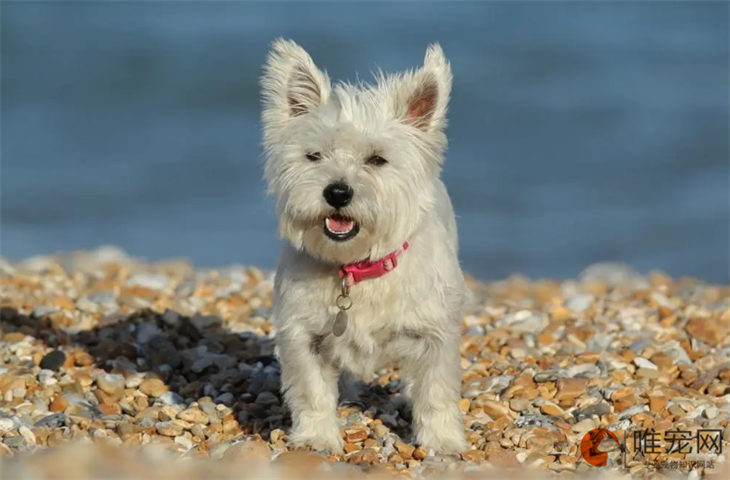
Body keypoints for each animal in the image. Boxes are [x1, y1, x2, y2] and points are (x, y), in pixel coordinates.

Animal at [262, 38, 466, 454]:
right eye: (314, 155)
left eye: (377, 159)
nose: (337, 192)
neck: (357, 269)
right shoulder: (303, 335)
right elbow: (312, 391)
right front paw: (316, 438)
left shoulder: (435, 333)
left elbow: (436, 391)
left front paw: (443, 442)